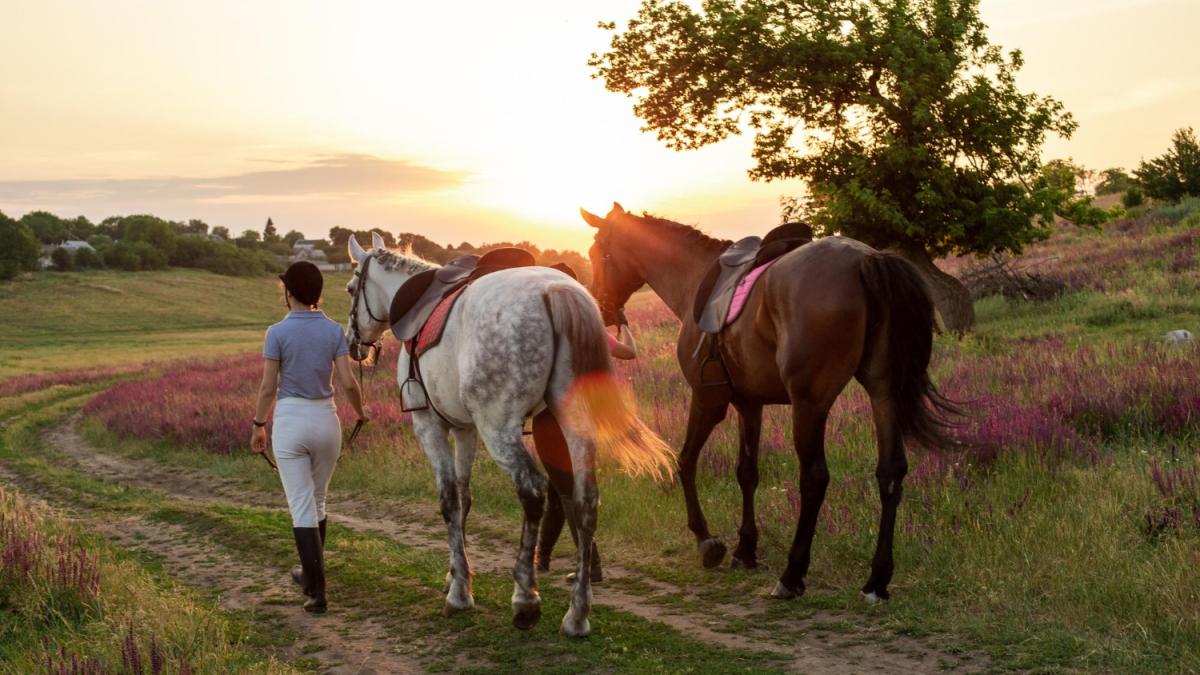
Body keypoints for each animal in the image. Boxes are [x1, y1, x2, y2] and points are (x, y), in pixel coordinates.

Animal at [343, 232, 674, 636]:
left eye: (350, 289)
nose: (353, 344)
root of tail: (557, 291)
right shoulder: (465, 429)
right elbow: (464, 498)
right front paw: (456, 575)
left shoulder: (430, 425)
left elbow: (448, 500)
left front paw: (459, 593)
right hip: (572, 425)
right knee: (585, 500)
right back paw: (577, 613)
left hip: (499, 429)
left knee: (532, 491)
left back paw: (526, 599)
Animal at [580, 204, 957, 602]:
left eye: (596, 253)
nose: (600, 307)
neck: (694, 278)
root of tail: (867, 259)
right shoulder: (750, 404)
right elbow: (747, 472)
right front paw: (745, 549)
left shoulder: (708, 400)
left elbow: (685, 461)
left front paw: (707, 542)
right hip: (883, 392)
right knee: (890, 472)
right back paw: (877, 579)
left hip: (810, 404)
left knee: (814, 478)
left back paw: (792, 574)